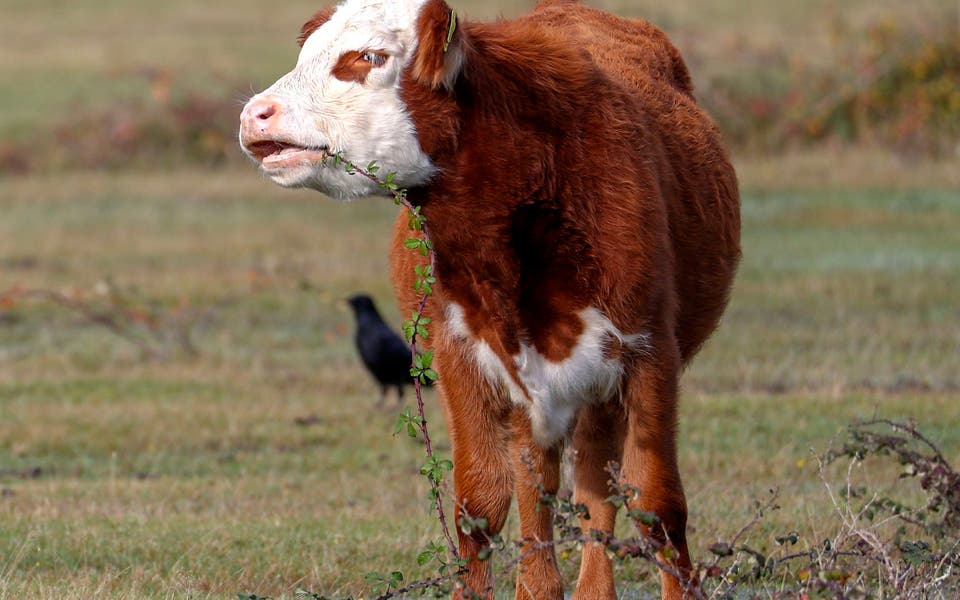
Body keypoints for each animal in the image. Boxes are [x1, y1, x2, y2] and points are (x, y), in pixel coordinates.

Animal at [240, 1, 744, 596]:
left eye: (369, 57)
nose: (255, 114)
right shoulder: (460, 360)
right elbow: (480, 505)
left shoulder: (649, 356)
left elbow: (658, 505)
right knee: (549, 485)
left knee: (595, 490)